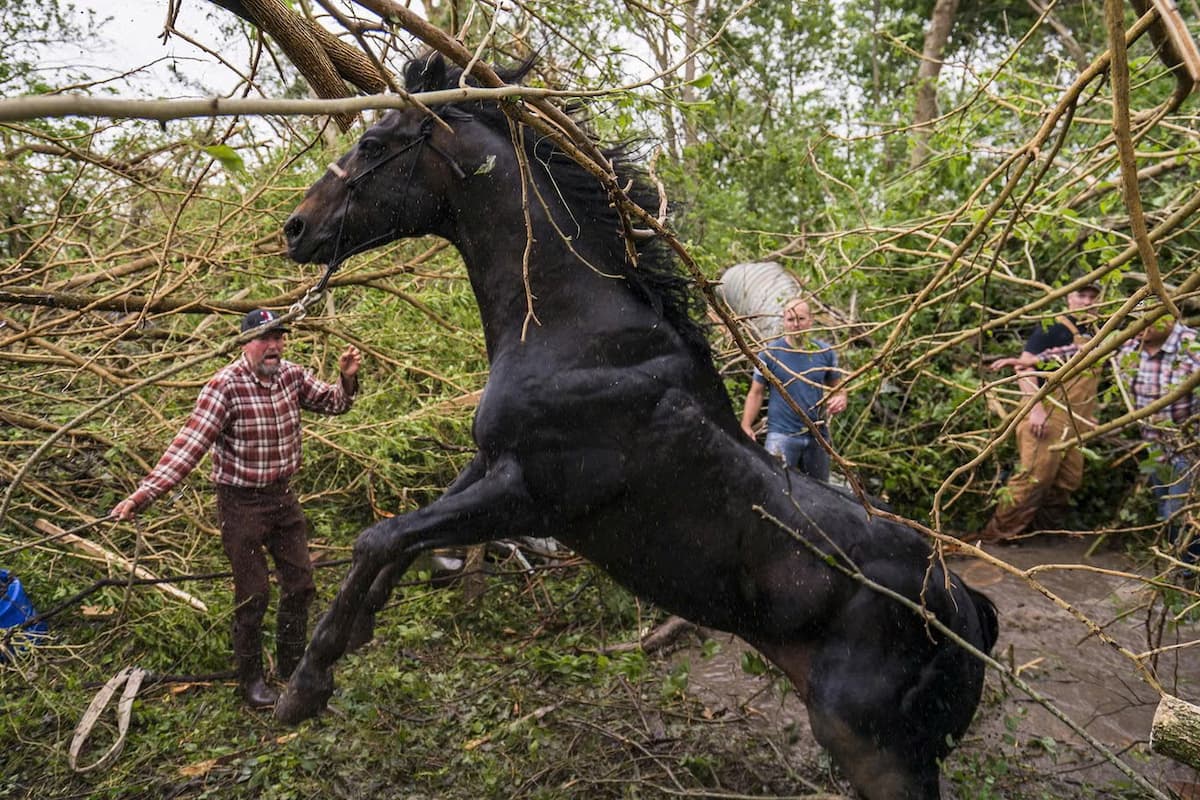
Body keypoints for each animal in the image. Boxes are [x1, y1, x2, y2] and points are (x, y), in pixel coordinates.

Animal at [276, 53, 998, 796]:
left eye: (372, 145)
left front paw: (304, 686)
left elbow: (381, 537)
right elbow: (405, 537)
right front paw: (357, 634)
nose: (294, 229)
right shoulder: (490, 464)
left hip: (877, 753)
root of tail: (968, 609)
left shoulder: (532, 496)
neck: (578, 334)